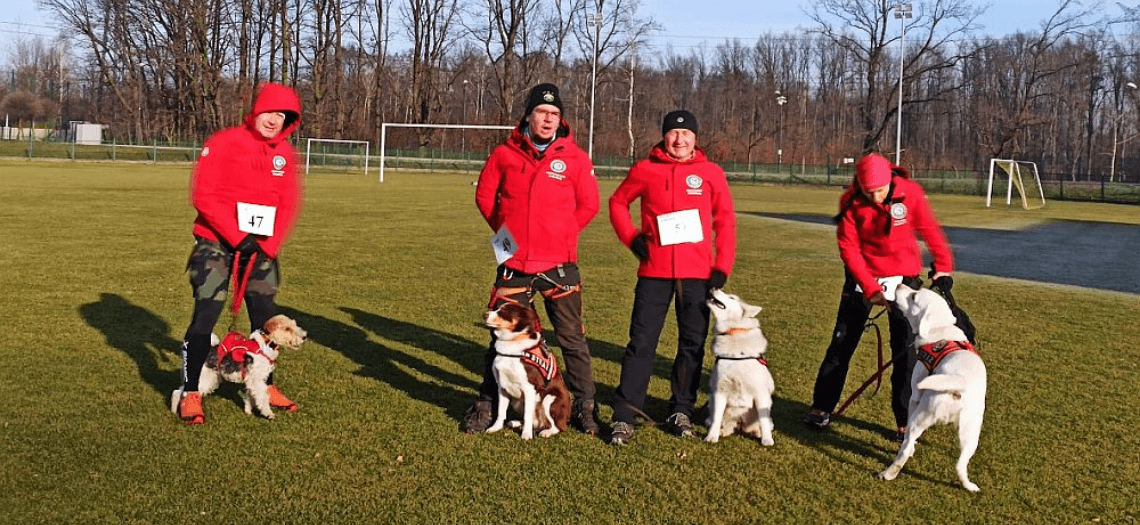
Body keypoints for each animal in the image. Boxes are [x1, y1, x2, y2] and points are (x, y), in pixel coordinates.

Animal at [702, 288, 775, 444]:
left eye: (732, 298)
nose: (714, 288)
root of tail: (740, 424)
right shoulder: (719, 391)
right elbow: (716, 418)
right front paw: (711, 436)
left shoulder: (761, 393)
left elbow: (764, 421)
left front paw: (767, 440)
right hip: (714, 403)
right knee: (721, 423)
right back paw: (723, 431)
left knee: (761, 422)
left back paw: (757, 432)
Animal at [875, 284, 984, 489]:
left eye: (914, 296)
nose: (899, 284)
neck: (940, 329)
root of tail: (959, 383)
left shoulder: (915, 395)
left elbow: (907, 433)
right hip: (971, 433)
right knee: (960, 465)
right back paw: (969, 486)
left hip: (922, 416)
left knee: (904, 449)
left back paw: (888, 473)